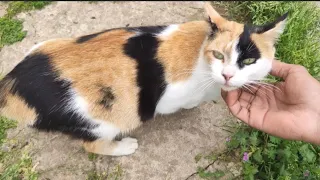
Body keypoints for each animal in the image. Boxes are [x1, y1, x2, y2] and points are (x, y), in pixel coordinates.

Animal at [0, 2, 288, 155]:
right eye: (218, 55)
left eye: (248, 61)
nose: (227, 75)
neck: (200, 51)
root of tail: (14, 84)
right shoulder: (170, 96)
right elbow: (181, 103)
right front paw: (193, 104)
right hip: (105, 120)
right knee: (91, 145)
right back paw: (124, 146)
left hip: (41, 44)